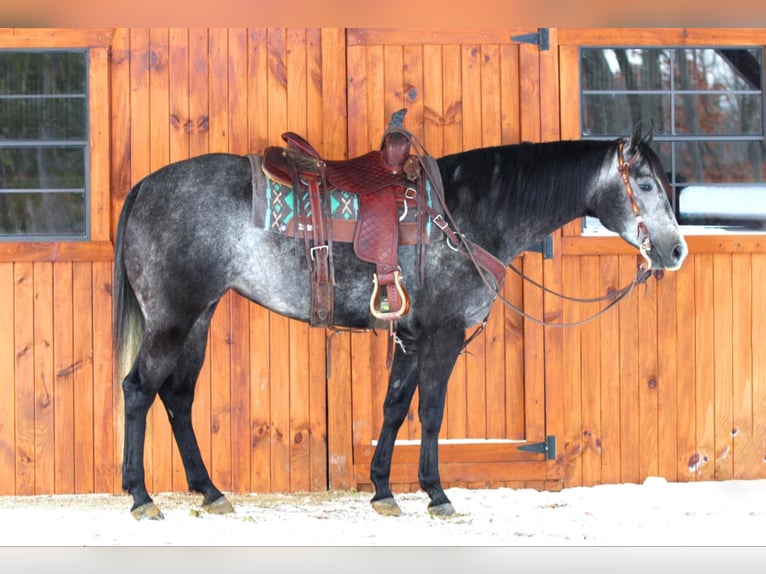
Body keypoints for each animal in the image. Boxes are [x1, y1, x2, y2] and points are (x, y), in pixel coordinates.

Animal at [114, 124, 688, 520]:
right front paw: (436, 494)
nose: (677, 250)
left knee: (179, 397)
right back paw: (141, 497)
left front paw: (384, 490)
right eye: (644, 183)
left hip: (199, 317)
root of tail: (144, 186)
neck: (464, 217)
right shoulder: (442, 336)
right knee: (140, 389)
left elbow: (393, 410)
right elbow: (430, 414)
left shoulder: (410, 339)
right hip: (172, 319)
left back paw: (210, 492)